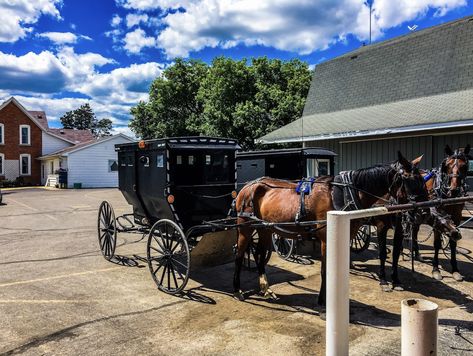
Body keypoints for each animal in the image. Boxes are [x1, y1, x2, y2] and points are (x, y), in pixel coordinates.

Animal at [234, 152, 426, 304]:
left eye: (423, 179)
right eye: (409, 179)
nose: (423, 212)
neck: (341, 194)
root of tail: (248, 186)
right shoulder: (326, 239)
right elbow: (325, 269)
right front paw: (323, 300)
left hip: (265, 229)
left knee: (259, 253)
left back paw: (265, 288)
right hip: (245, 228)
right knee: (239, 253)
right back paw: (237, 291)